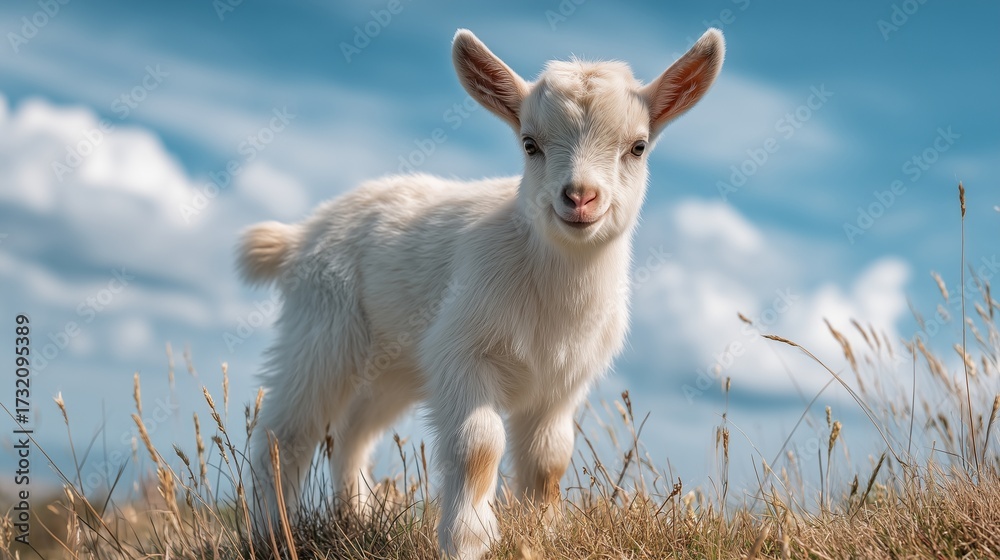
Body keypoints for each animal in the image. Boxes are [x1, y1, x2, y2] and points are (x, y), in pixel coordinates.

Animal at [239, 28, 724, 559]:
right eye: (529, 144)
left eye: (638, 146)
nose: (579, 197)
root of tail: (299, 237)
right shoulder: (463, 354)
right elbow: (478, 446)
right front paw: (469, 539)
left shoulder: (561, 383)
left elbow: (550, 459)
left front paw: (543, 532)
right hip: (322, 332)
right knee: (285, 435)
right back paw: (270, 532)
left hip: (392, 366)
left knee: (353, 433)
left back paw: (356, 515)